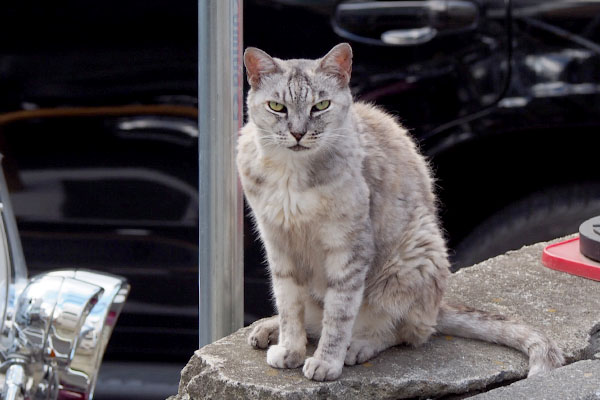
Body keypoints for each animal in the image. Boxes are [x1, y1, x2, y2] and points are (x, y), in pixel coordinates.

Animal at [237, 43, 564, 382]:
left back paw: (359, 346)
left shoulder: (349, 248)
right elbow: (289, 305)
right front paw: (290, 348)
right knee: (312, 317)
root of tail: (438, 306)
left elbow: (339, 315)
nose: (298, 133)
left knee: (405, 331)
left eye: (321, 106)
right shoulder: (278, 245)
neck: (292, 174)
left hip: (414, 259)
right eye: (277, 107)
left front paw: (326, 362)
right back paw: (268, 329)